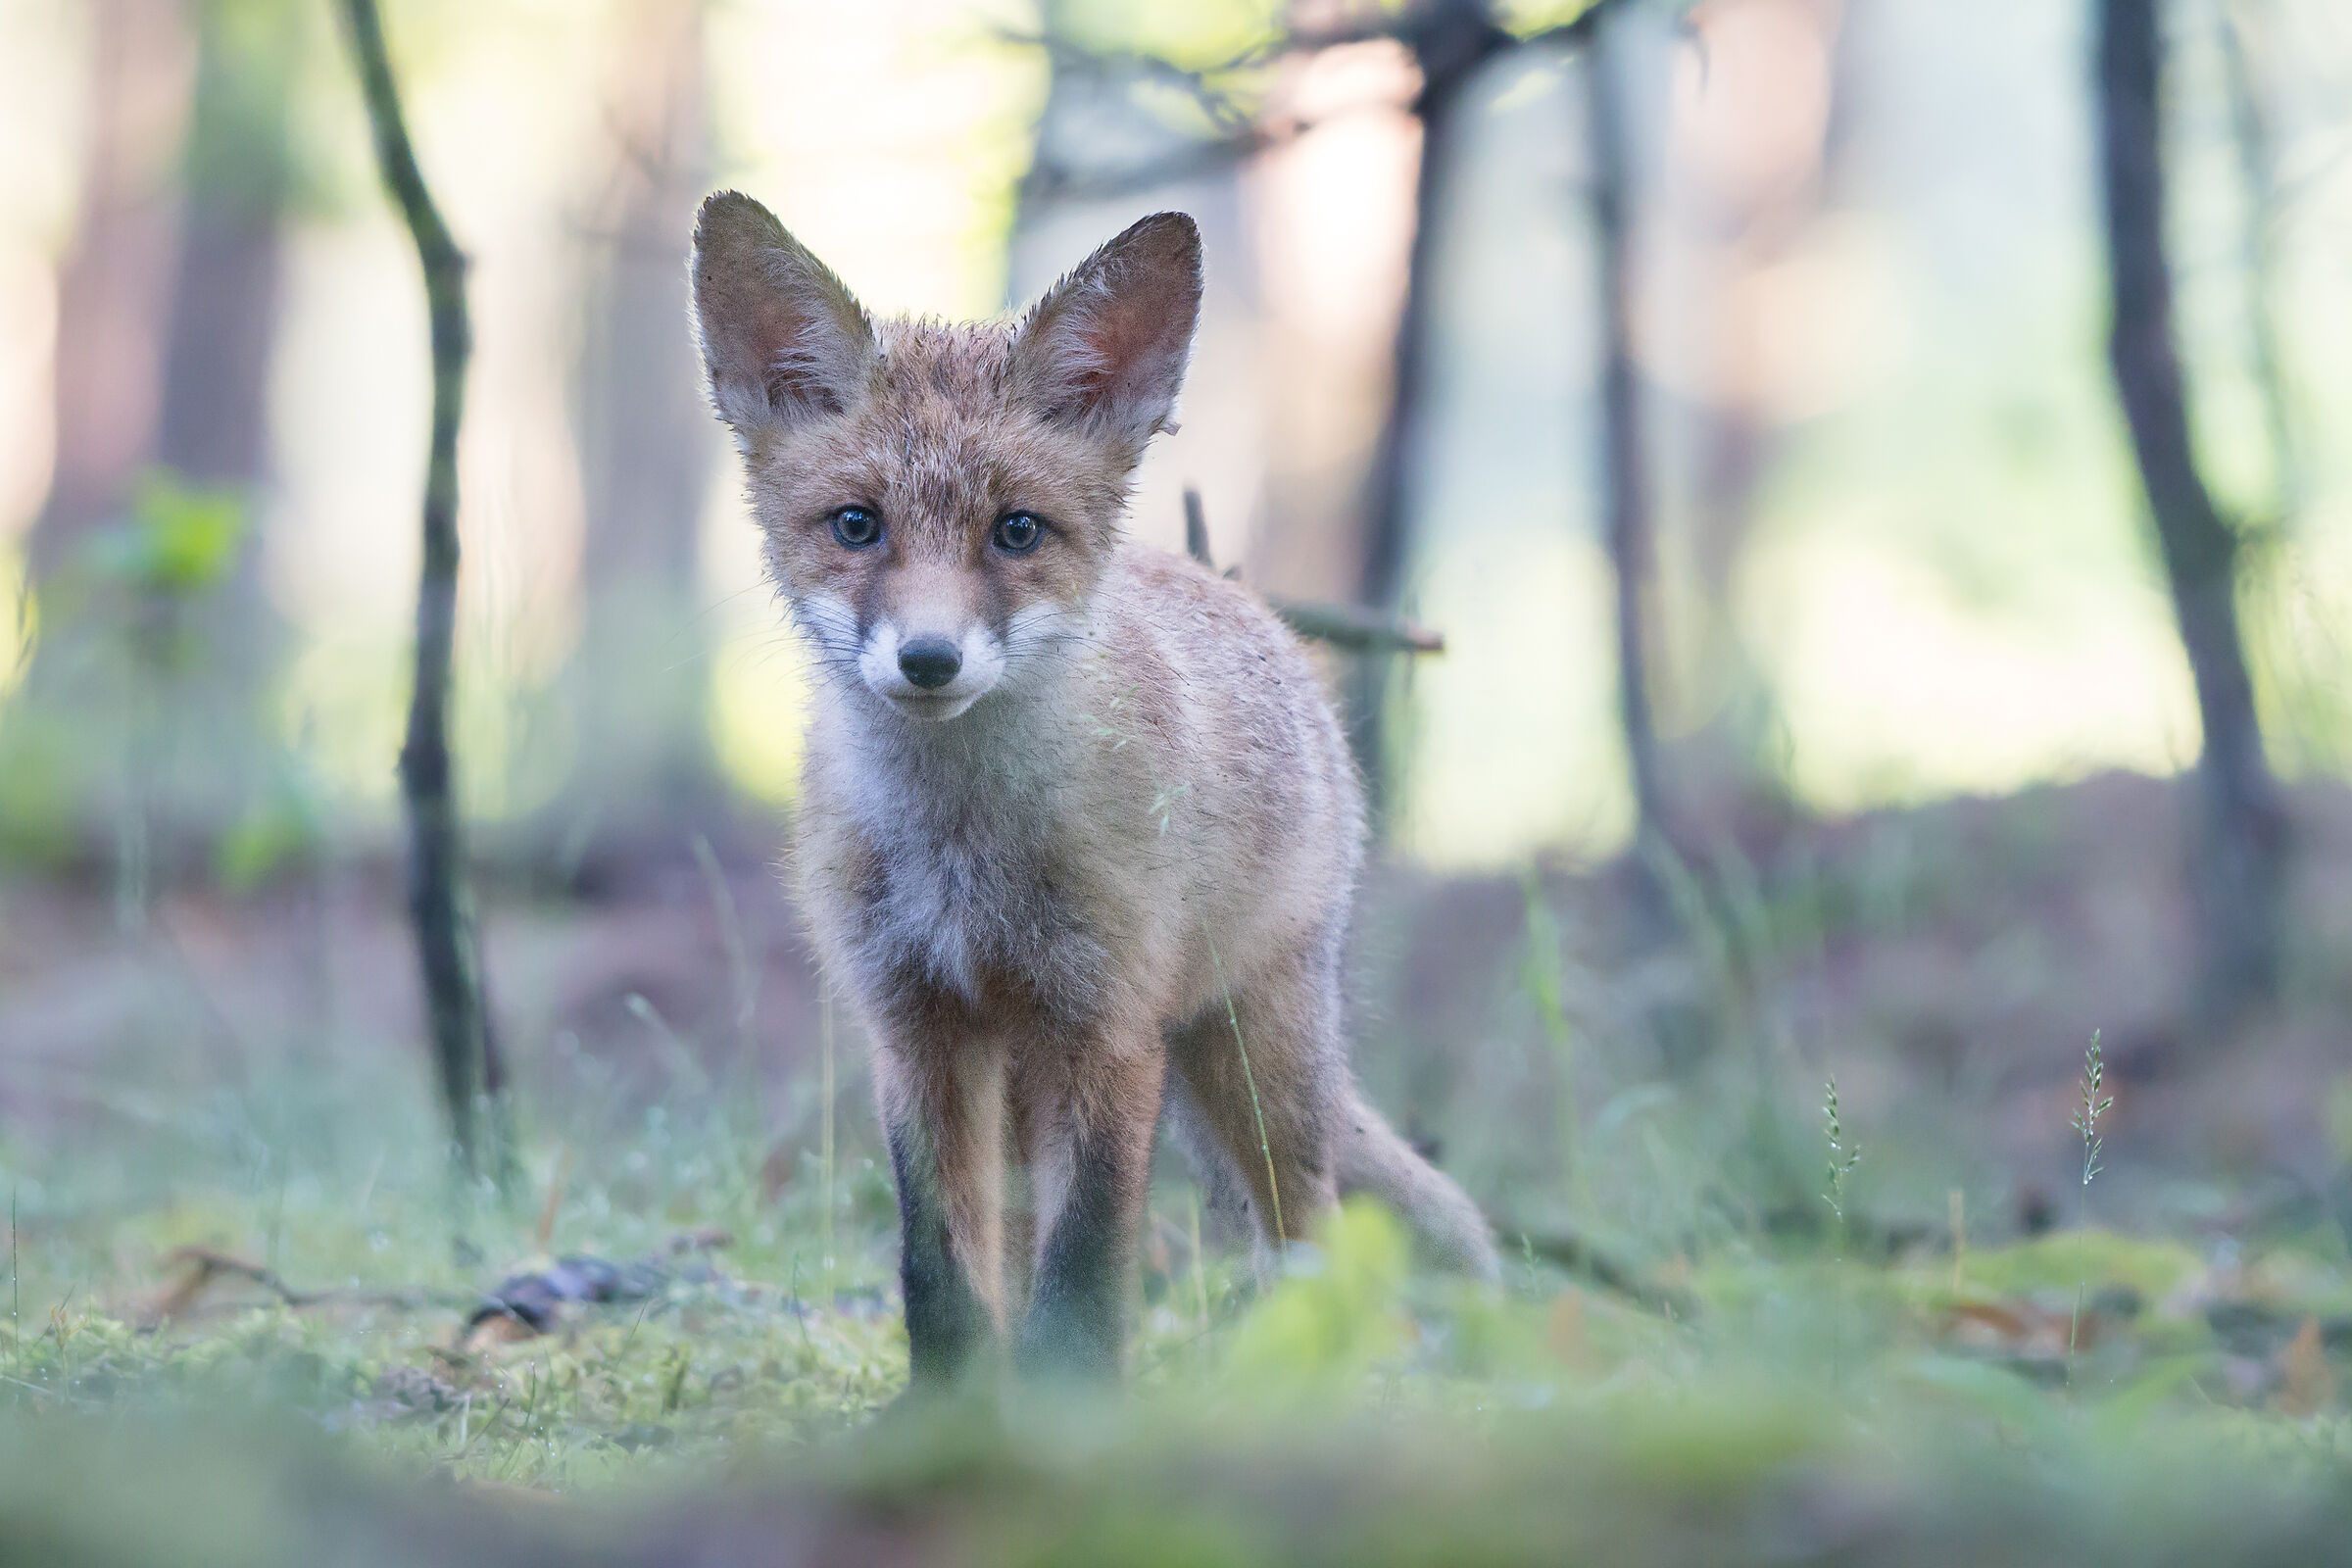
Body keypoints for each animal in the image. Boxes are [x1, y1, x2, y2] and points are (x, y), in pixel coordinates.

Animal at [689, 191, 1500, 1385]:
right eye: (856, 524)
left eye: (1016, 530)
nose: (928, 660)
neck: (963, 854)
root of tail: (1240, 598)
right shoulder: (915, 1026)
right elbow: (941, 1269)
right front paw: (952, 1410)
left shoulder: (1106, 1025)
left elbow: (1081, 1274)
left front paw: (1071, 1408)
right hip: (1039, 1072)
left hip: (1256, 1057)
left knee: (1310, 1226)